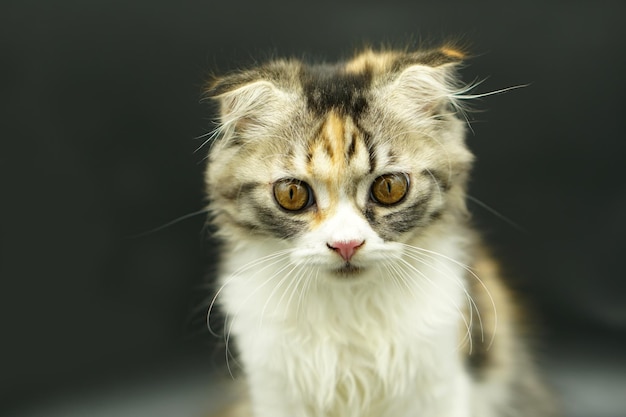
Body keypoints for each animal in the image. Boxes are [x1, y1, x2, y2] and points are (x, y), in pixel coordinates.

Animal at [202, 46, 552, 416]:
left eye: (389, 188)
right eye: (292, 194)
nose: (346, 245)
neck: (349, 310)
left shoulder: (439, 382)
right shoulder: (274, 388)